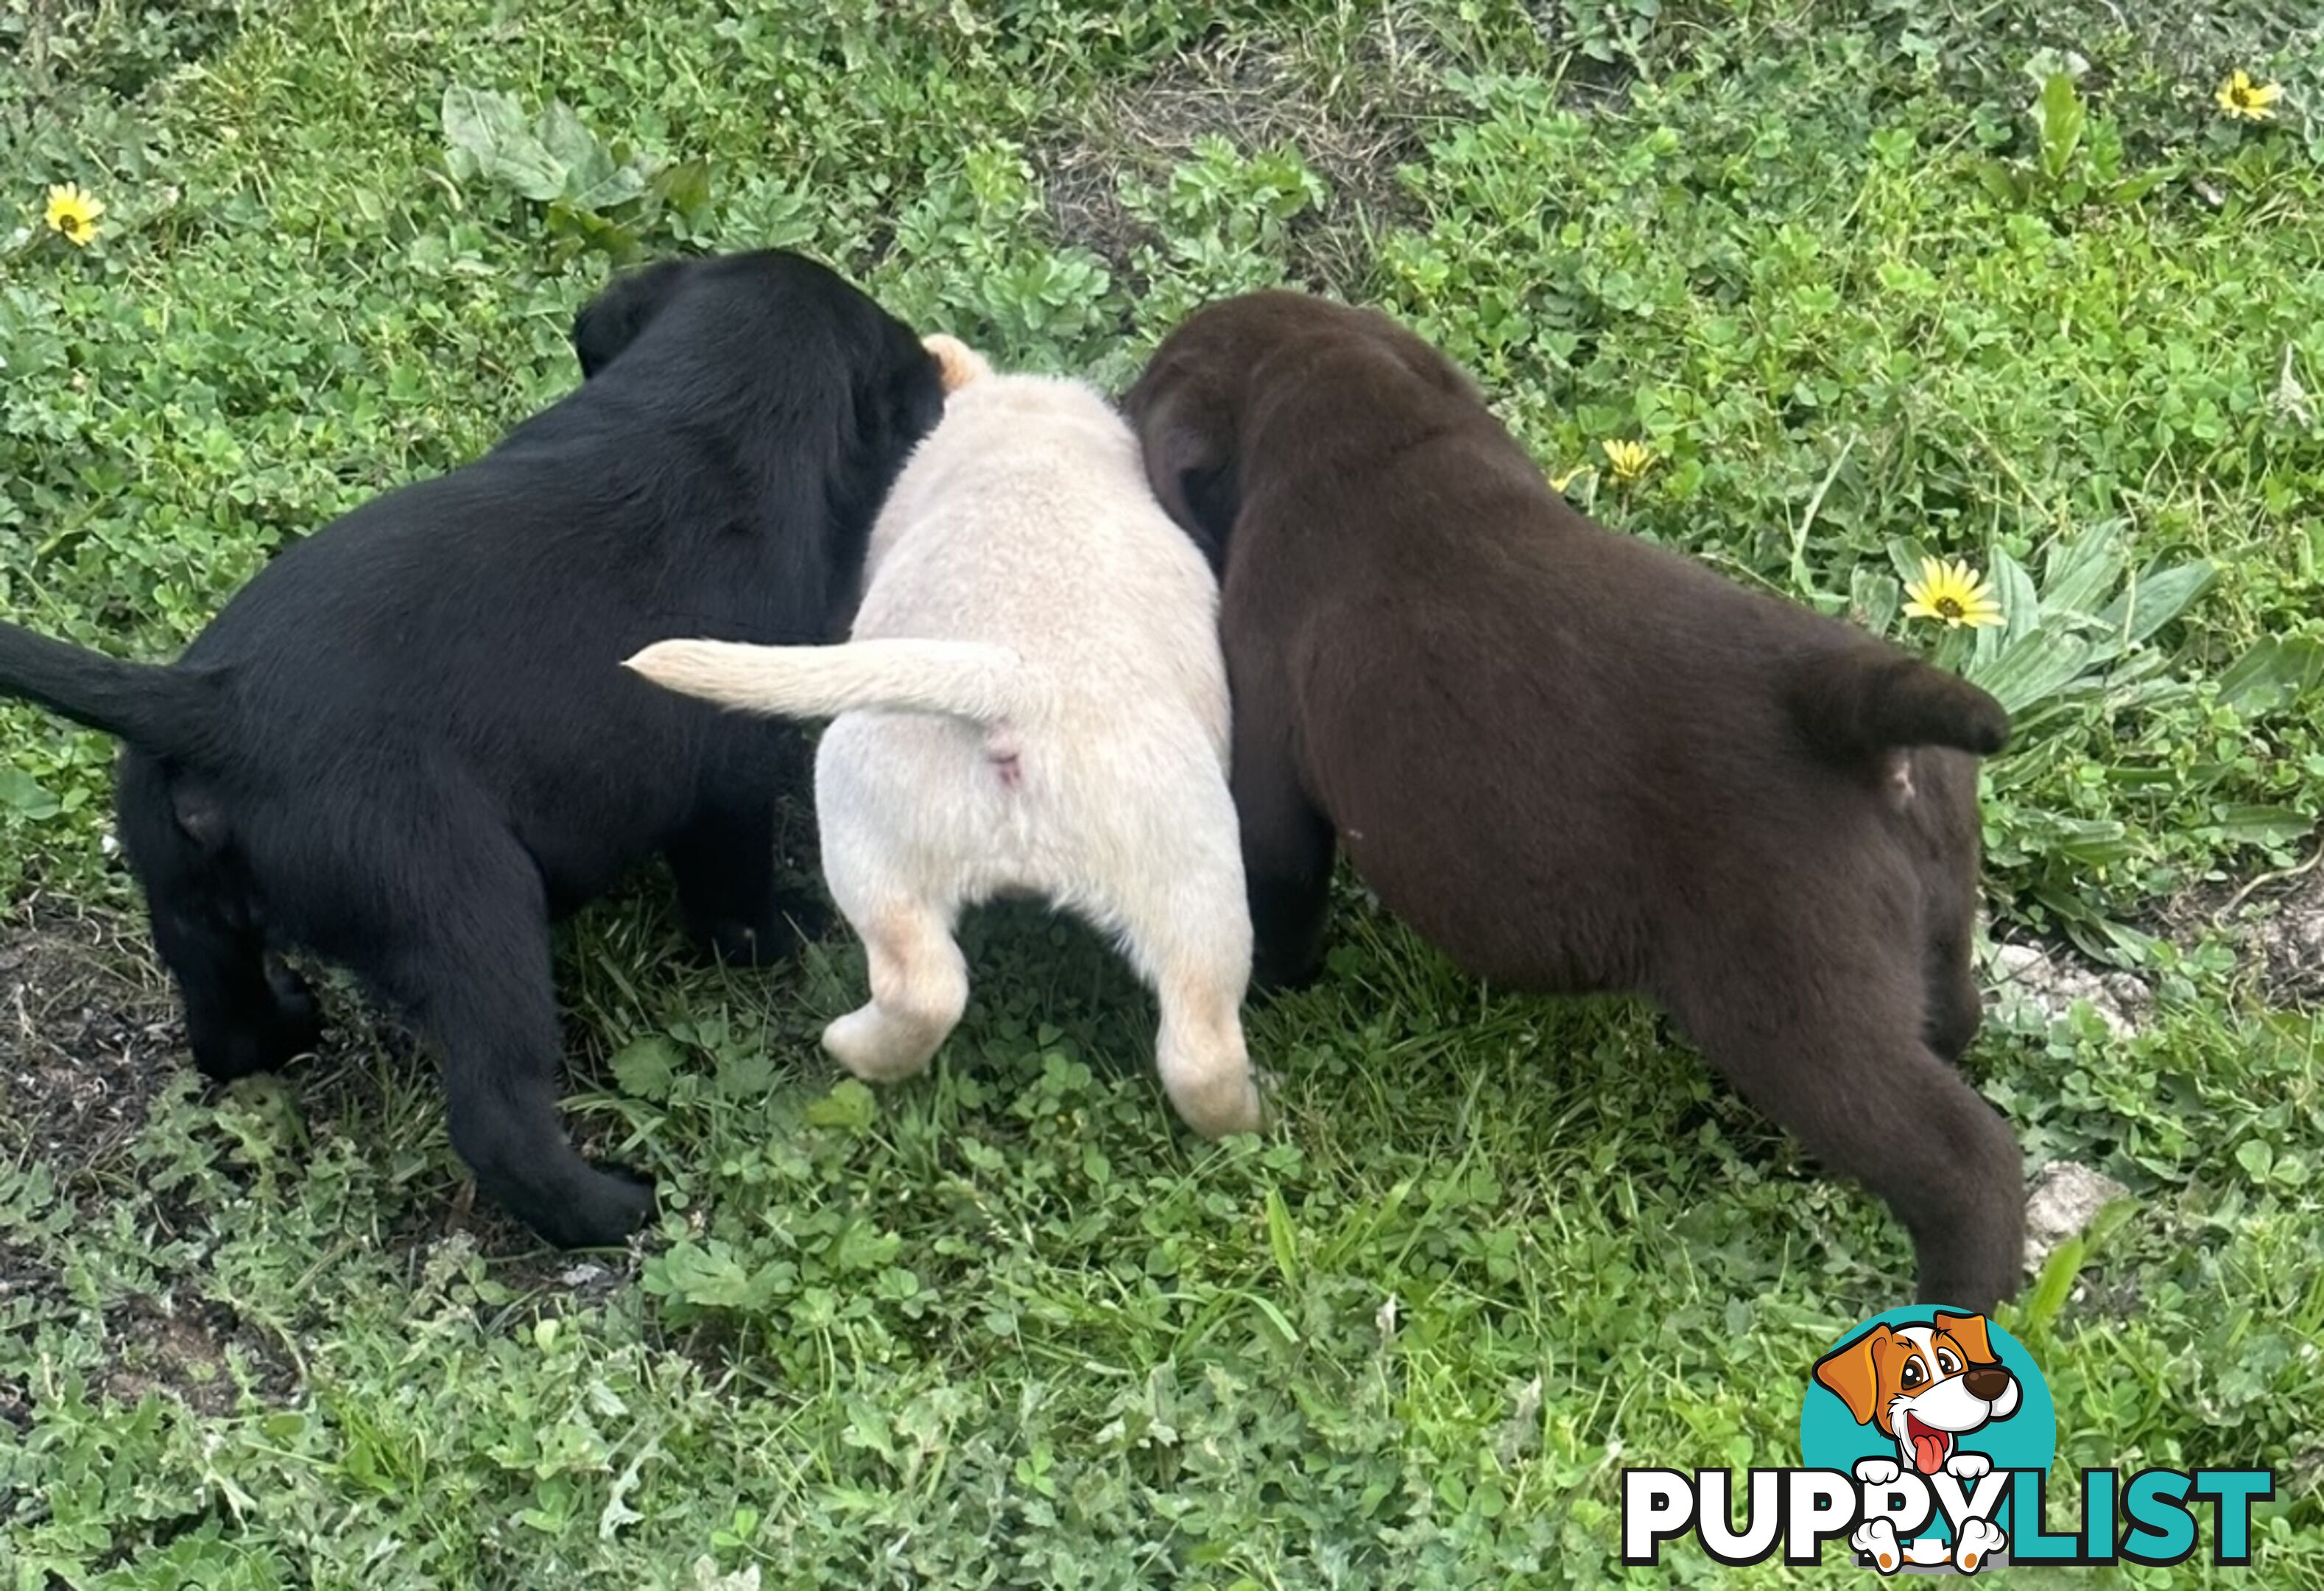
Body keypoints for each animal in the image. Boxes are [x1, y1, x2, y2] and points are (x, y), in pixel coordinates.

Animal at [2, 245, 943, 1246]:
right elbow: (732, 898)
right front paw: (783, 935)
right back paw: (616, 1207)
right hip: (467, 909)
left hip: (182, 897)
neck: (703, 419)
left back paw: (290, 1016)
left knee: (226, 1031)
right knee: (497, 1120)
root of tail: (217, 709)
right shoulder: (726, 782)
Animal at [627, 334, 1264, 1135]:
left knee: (921, 987)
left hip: (871, 827)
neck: (1032, 430)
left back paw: (849, 1045)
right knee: (1197, 1045)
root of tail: (1018, 695)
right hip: (1190, 877)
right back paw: (1246, 1118)